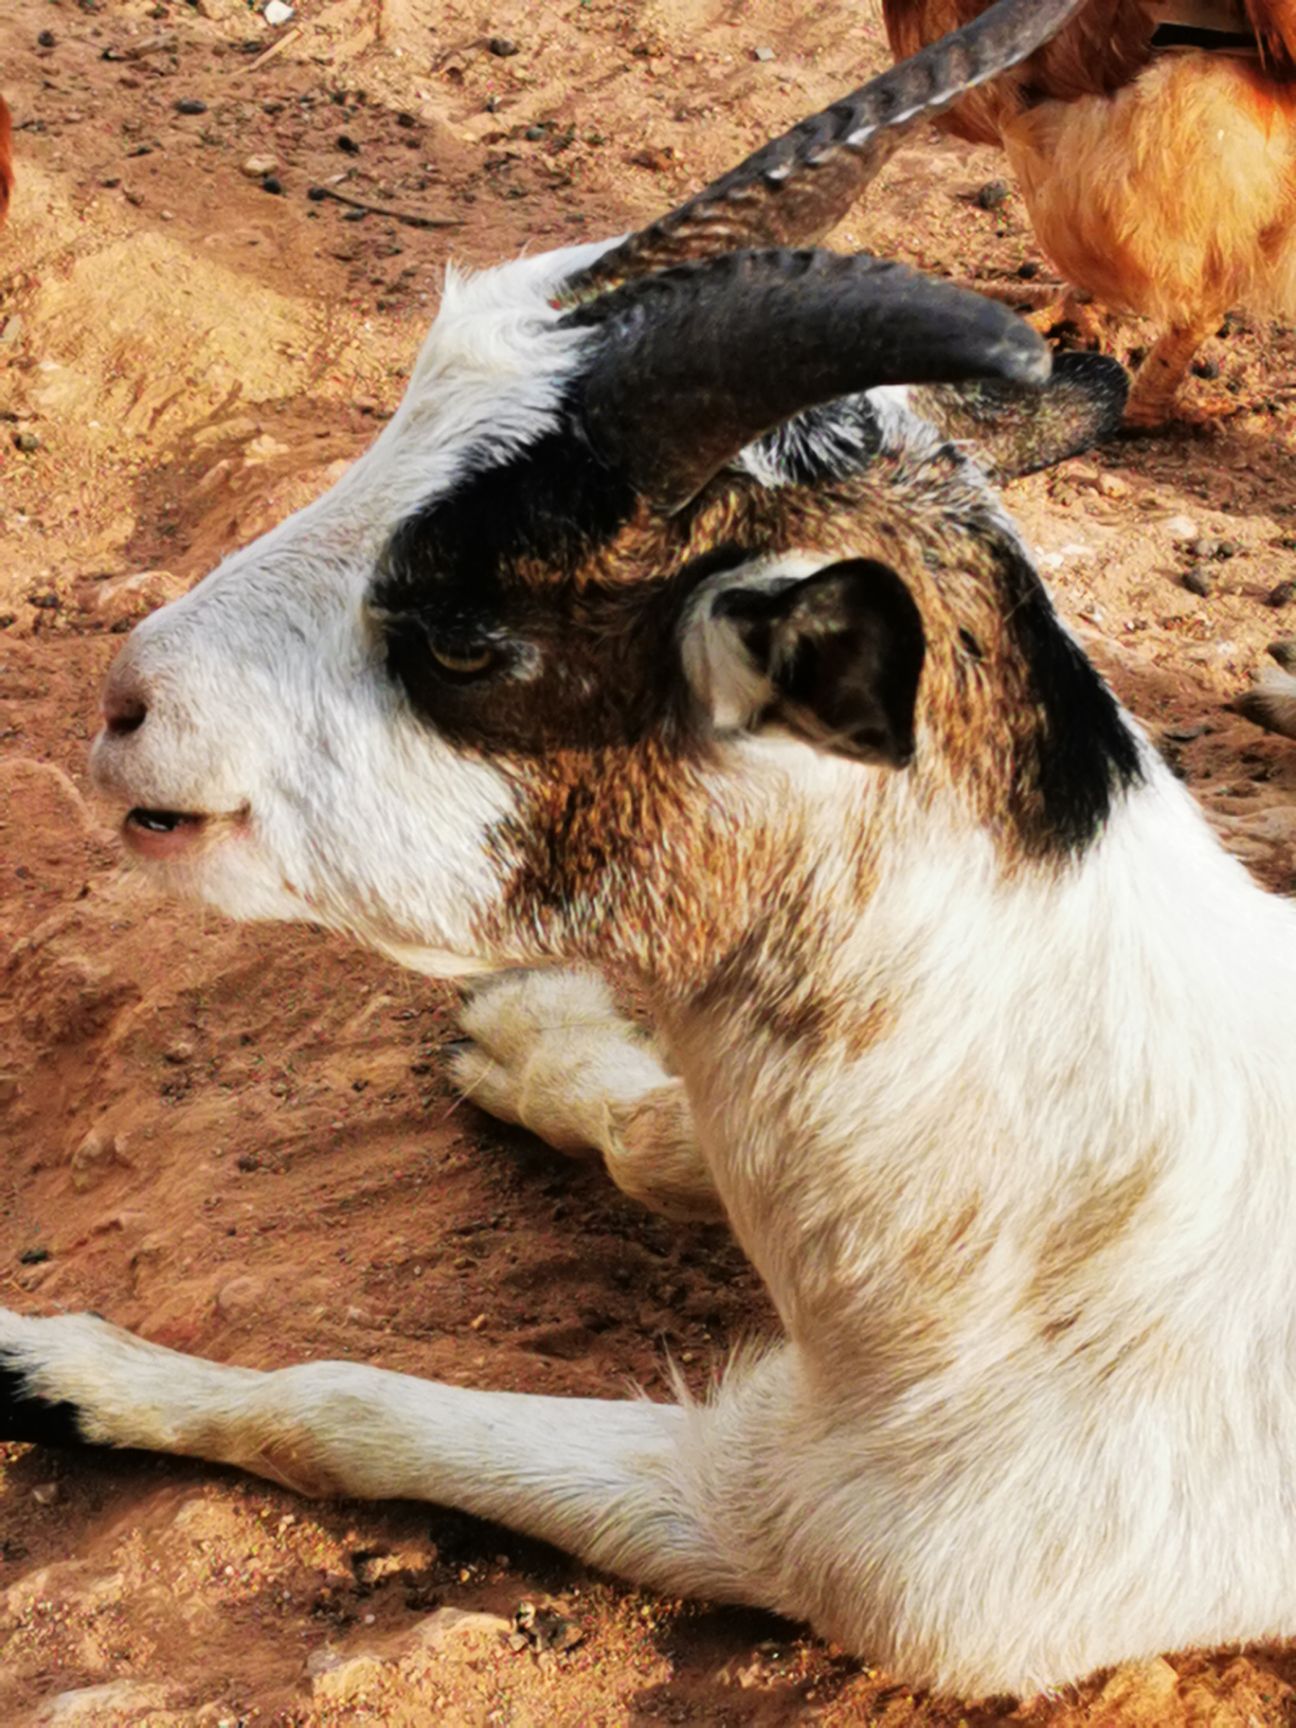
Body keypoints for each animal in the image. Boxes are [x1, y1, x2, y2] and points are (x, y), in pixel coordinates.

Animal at [2, 0, 1296, 1700]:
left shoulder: (814, 1537)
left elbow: (357, 1403)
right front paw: (525, 1042)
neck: (1085, 1215)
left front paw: (63, 1369)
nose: (125, 707)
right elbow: (652, 1133)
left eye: (473, 635)